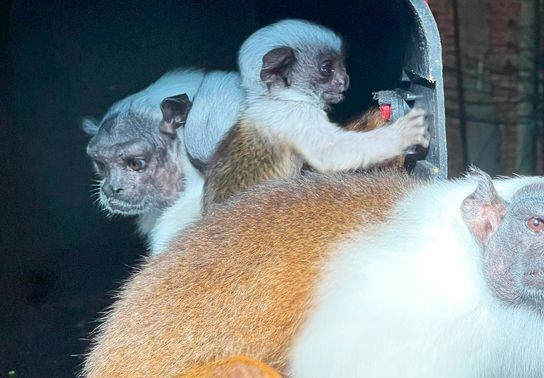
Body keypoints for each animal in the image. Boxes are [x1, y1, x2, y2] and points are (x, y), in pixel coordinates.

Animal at [202, 18, 432, 210]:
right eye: (327, 68)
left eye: (342, 65)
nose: (345, 79)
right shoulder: (298, 115)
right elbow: (331, 154)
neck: (280, 98)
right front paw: (401, 133)